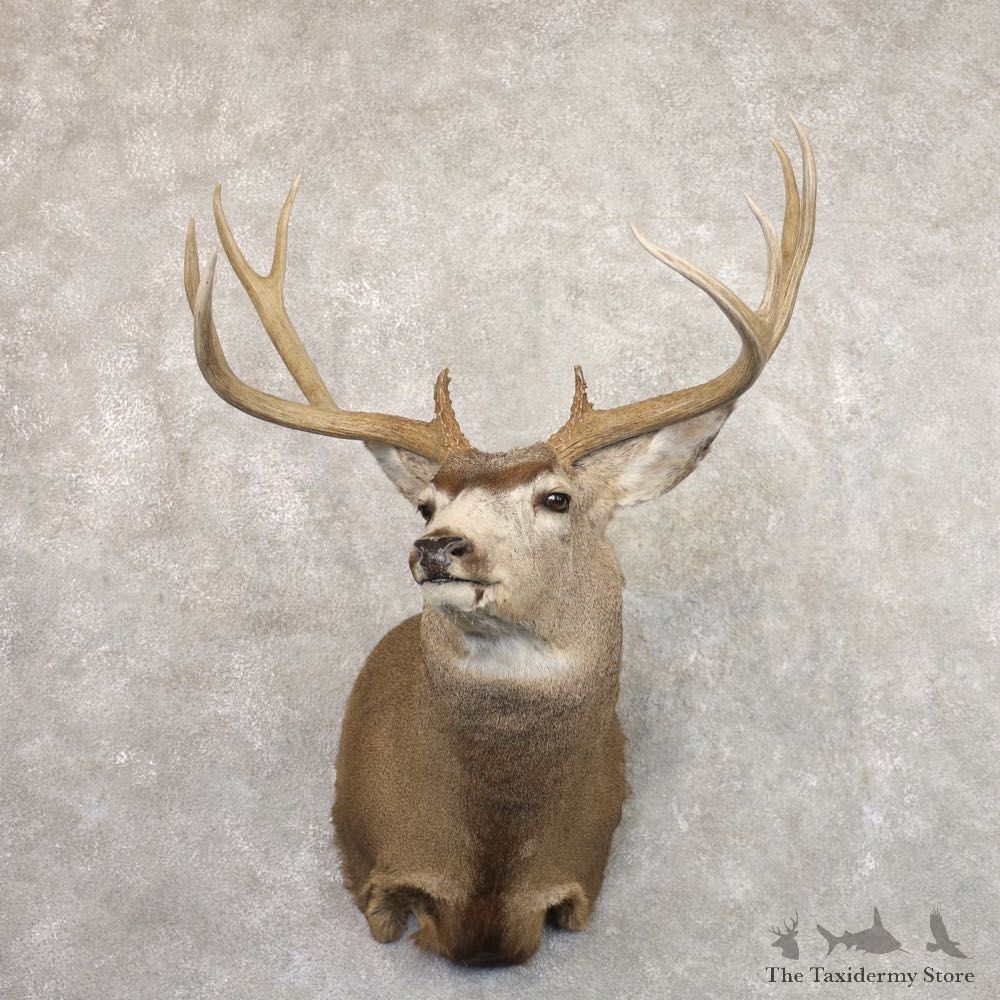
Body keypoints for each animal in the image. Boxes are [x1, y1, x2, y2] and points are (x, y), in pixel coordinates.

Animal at [182, 116, 816, 967]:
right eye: (425, 505)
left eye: (556, 497)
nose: (440, 546)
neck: (488, 869)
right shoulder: (374, 872)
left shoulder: (579, 886)